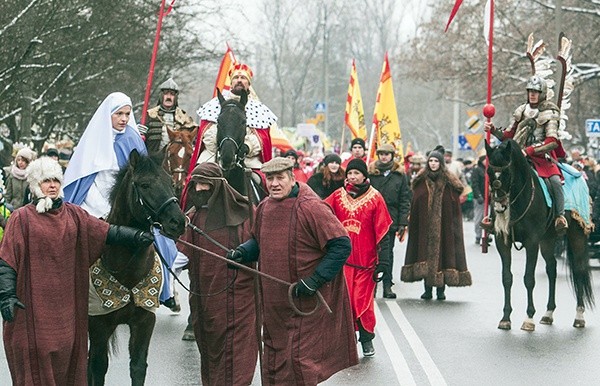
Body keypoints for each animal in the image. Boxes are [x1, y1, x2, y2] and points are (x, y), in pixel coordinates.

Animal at [86, 149, 185, 384]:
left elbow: (138, 366)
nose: (178, 222)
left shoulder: (144, 322)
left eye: (169, 181)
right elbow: (97, 367)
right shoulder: (98, 324)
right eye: (145, 184)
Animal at [486, 139, 592, 332]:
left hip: (577, 235)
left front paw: (529, 318)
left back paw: (579, 316)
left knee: (579, 269)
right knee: (552, 269)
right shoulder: (502, 242)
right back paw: (548, 314)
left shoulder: (532, 242)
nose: (499, 207)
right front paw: (505, 318)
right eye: (489, 172)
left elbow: (529, 278)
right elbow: (507, 278)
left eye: (507, 172)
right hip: (548, 240)